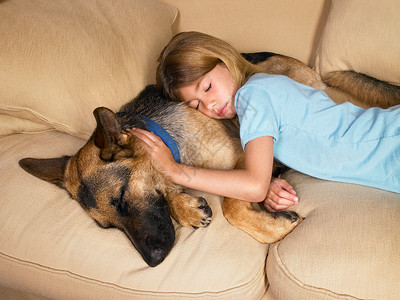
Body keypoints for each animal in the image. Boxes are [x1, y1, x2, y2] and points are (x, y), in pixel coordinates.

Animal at [19, 52, 400, 266]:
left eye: (124, 197)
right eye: (106, 228)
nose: (154, 262)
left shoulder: (242, 157)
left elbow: (231, 204)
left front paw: (272, 227)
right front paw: (186, 207)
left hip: (270, 70)